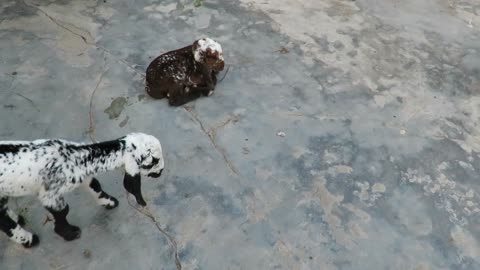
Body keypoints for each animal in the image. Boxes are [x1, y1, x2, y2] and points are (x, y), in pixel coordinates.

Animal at [0, 132, 164, 247]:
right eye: (153, 161)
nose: (161, 172)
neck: (74, 157)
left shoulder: (82, 176)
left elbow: (95, 186)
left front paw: (109, 202)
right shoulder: (50, 194)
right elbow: (63, 211)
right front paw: (69, 234)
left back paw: (17, 219)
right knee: (4, 222)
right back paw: (28, 239)